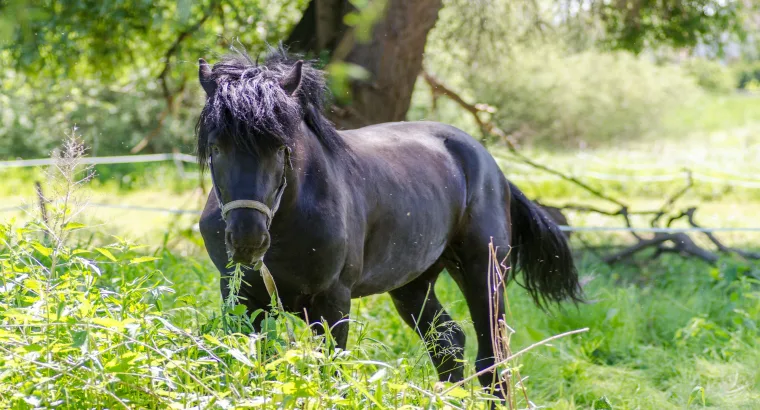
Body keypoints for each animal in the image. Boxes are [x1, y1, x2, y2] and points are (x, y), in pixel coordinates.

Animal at [196, 48, 582, 397]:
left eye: (281, 147)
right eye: (216, 147)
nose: (248, 239)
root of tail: (491, 166)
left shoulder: (332, 301)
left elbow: (331, 374)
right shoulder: (243, 298)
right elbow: (254, 366)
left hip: (483, 272)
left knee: (492, 362)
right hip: (413, 284)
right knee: (448, 342)